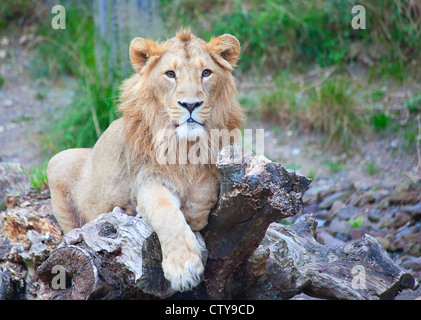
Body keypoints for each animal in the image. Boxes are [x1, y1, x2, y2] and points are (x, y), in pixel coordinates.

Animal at [46, 28, 243, 292]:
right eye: (170, 74)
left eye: (206, 73)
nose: (190, 104)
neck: (186, 146)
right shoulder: (147, 180)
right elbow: (166, 213)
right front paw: (184, 268)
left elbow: (204, 189)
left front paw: (195, 213)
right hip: (58, 162)